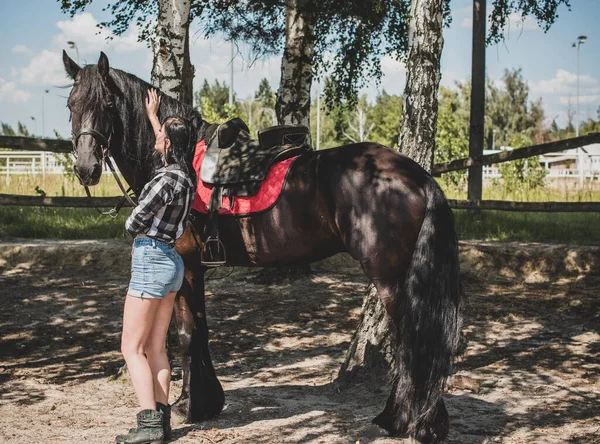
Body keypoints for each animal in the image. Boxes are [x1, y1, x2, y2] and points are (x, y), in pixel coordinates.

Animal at [63, 51, 462, 440]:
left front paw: (188, 406)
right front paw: (205, 401)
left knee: (413, 341)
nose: (85, 167)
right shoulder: (198, 269)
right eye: (70, 104)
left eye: (107, 103)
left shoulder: (187, 264)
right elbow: (201, 331)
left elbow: (187, 335)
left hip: (390, 279)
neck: (181, 159)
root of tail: (418, 176)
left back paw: (402, 420)